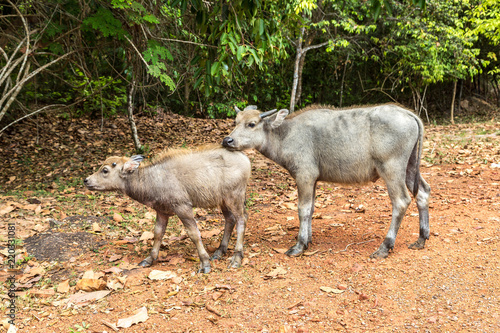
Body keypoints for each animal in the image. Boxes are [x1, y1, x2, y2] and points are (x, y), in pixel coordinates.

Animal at [85, 145, 254, 272]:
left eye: (105, 170)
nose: (86, 180)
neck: (151, 180)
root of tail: (244, 158)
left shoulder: (183, 207)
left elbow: (194, 234)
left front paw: (205, 263)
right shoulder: (162, 211)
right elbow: (158, 233)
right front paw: (149, 259)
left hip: (235, 196)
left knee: (242, 219)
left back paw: (236, 258)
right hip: (223, 200)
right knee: (230, 219)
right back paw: (220, 251)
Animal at [223, 104, 430, 256]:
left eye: (251, 124)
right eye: (235, 121)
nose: (227, 140)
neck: (286, 135)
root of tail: (408, 114)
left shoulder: (304, 176)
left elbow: (303, 209)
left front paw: (299, 245)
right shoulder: (313, 180)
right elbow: (312, 209)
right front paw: (308, 239)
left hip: (392, 169)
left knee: (401, 201)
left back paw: (385, 246)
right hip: (410, 166)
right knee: (423, 192)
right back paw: (421, 237)